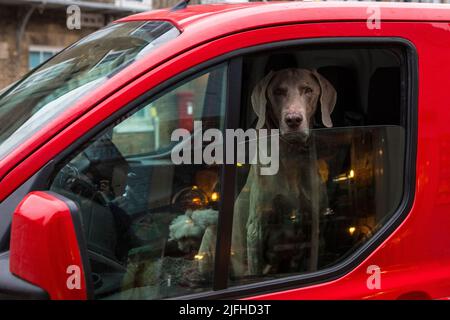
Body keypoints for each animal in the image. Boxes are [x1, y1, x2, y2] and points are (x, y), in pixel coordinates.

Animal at [230, 67, 336, 278]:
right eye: (278, 91)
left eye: (308, 90)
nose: (293, 119)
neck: (291, 156)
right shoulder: (256, 230)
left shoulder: (316, 231)